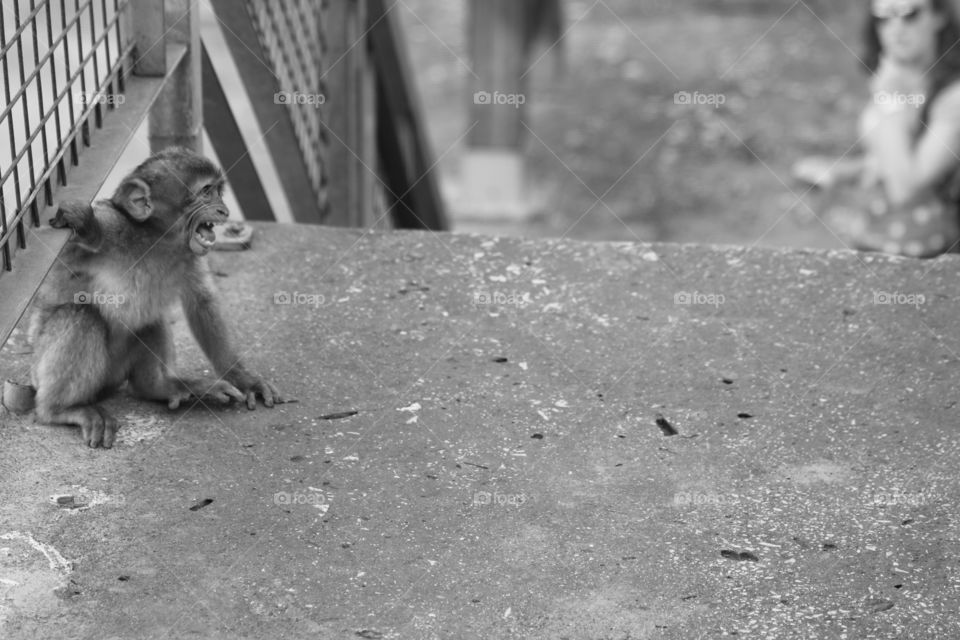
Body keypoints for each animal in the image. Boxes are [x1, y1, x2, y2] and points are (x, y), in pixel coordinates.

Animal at [29, 146, 282, 448]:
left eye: (219, 192)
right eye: (206, 191)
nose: (224, 210)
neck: (156, 239)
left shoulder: (188, 255)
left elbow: (202, 301)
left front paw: (242, 377)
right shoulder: (113, 227)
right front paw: (88, 229)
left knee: (149, 321)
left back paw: (159, 387)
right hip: (46, 368)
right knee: (81, 315)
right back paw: (62, 409)